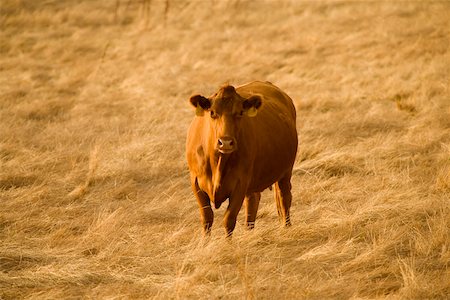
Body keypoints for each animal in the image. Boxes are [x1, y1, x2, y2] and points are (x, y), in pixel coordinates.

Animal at [185, 81, 298, 236]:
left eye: (240, 113)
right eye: (212, 113)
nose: (225, 142)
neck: (218, 162)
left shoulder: (240, 183)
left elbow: (229, 220)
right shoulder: (195, 182)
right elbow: (206, 219)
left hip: (285, 172)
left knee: (284, 198)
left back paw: (286, 227)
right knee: (252, 204)